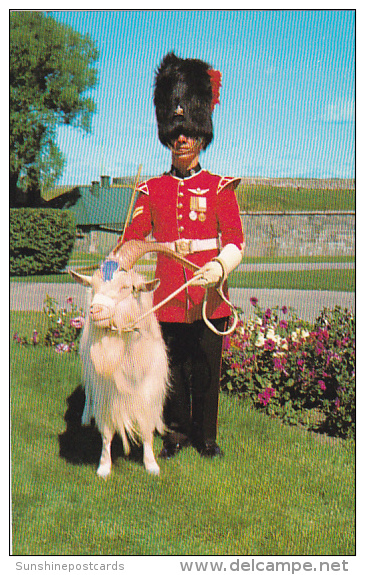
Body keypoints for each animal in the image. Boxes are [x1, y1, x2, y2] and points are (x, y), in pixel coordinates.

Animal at [69, 268, 168, 480]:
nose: (95, 310)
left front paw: (151, 465)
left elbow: (146, 429)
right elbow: (106, 432)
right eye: (94, 286)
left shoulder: (148, 393)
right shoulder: (106, 396)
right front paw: (104, 467)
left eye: (127, 287)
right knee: (88, 392)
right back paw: (85, 417)